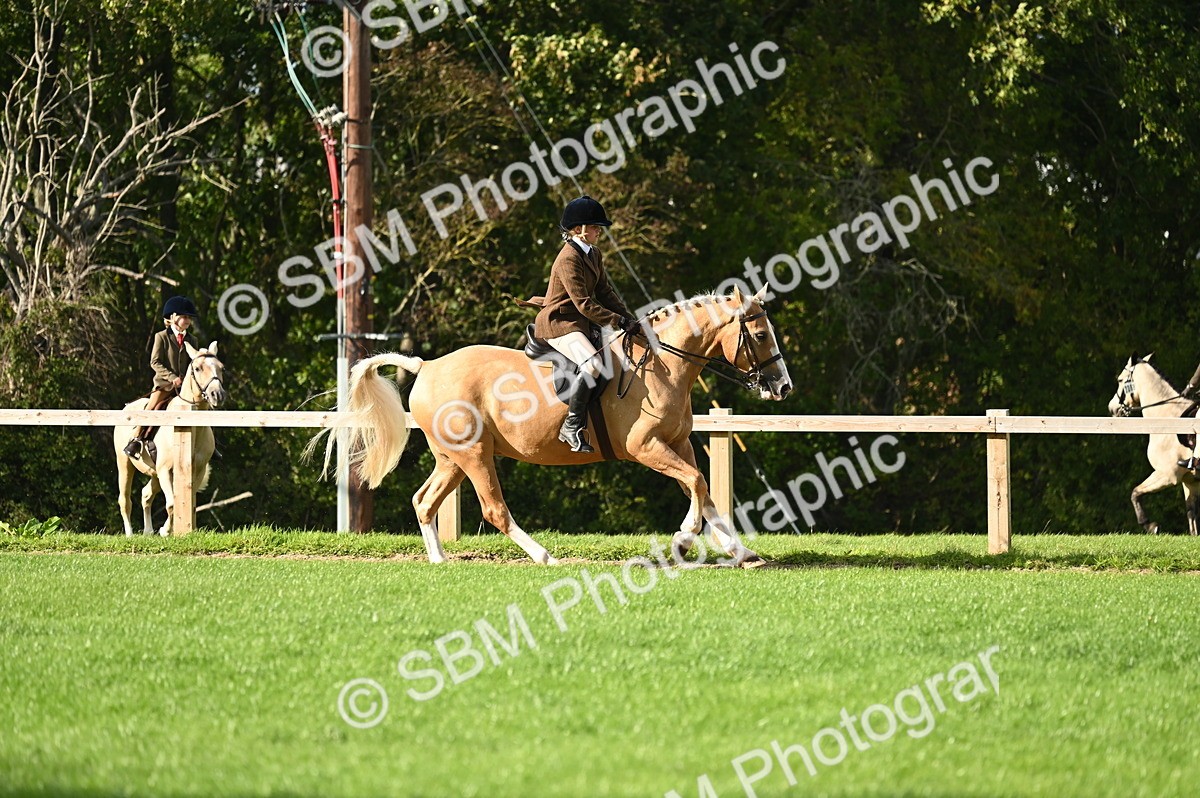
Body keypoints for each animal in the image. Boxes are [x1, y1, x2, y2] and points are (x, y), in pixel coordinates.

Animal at [114, 342, 228, 536]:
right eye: (197, 368)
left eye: (221, 368)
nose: (217, 395)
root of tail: (127, 408)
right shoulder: (165, 470)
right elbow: (173, 504)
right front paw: (166, 531)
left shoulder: (196, 471)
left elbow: (186, 504)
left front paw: (174, 530)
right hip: (125, 464)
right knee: (125, 499)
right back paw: (130, 533)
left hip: (154, 473)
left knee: (146, 494)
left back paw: (148, 531)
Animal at [322, 285, 792, 565]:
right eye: (760, 335)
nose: (783, 387)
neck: (663, 365)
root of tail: (427, 366)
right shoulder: (647, 448)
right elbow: (696, 483)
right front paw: (683, 540)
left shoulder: (679, 443)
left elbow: (704, 491)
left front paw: (741, 551)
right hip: (474, 455)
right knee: (494, 509)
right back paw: (543, 556)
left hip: (453, 458)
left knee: (424, 501)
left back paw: (438, 560)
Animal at [1107, 352, 1199, 535]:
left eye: (1120, 380)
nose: (1112, 408)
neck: (1166, 419)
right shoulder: (1190, 481)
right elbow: (1192, 516)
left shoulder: (1167, 475)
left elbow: (1135, 492)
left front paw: (1150, 526)